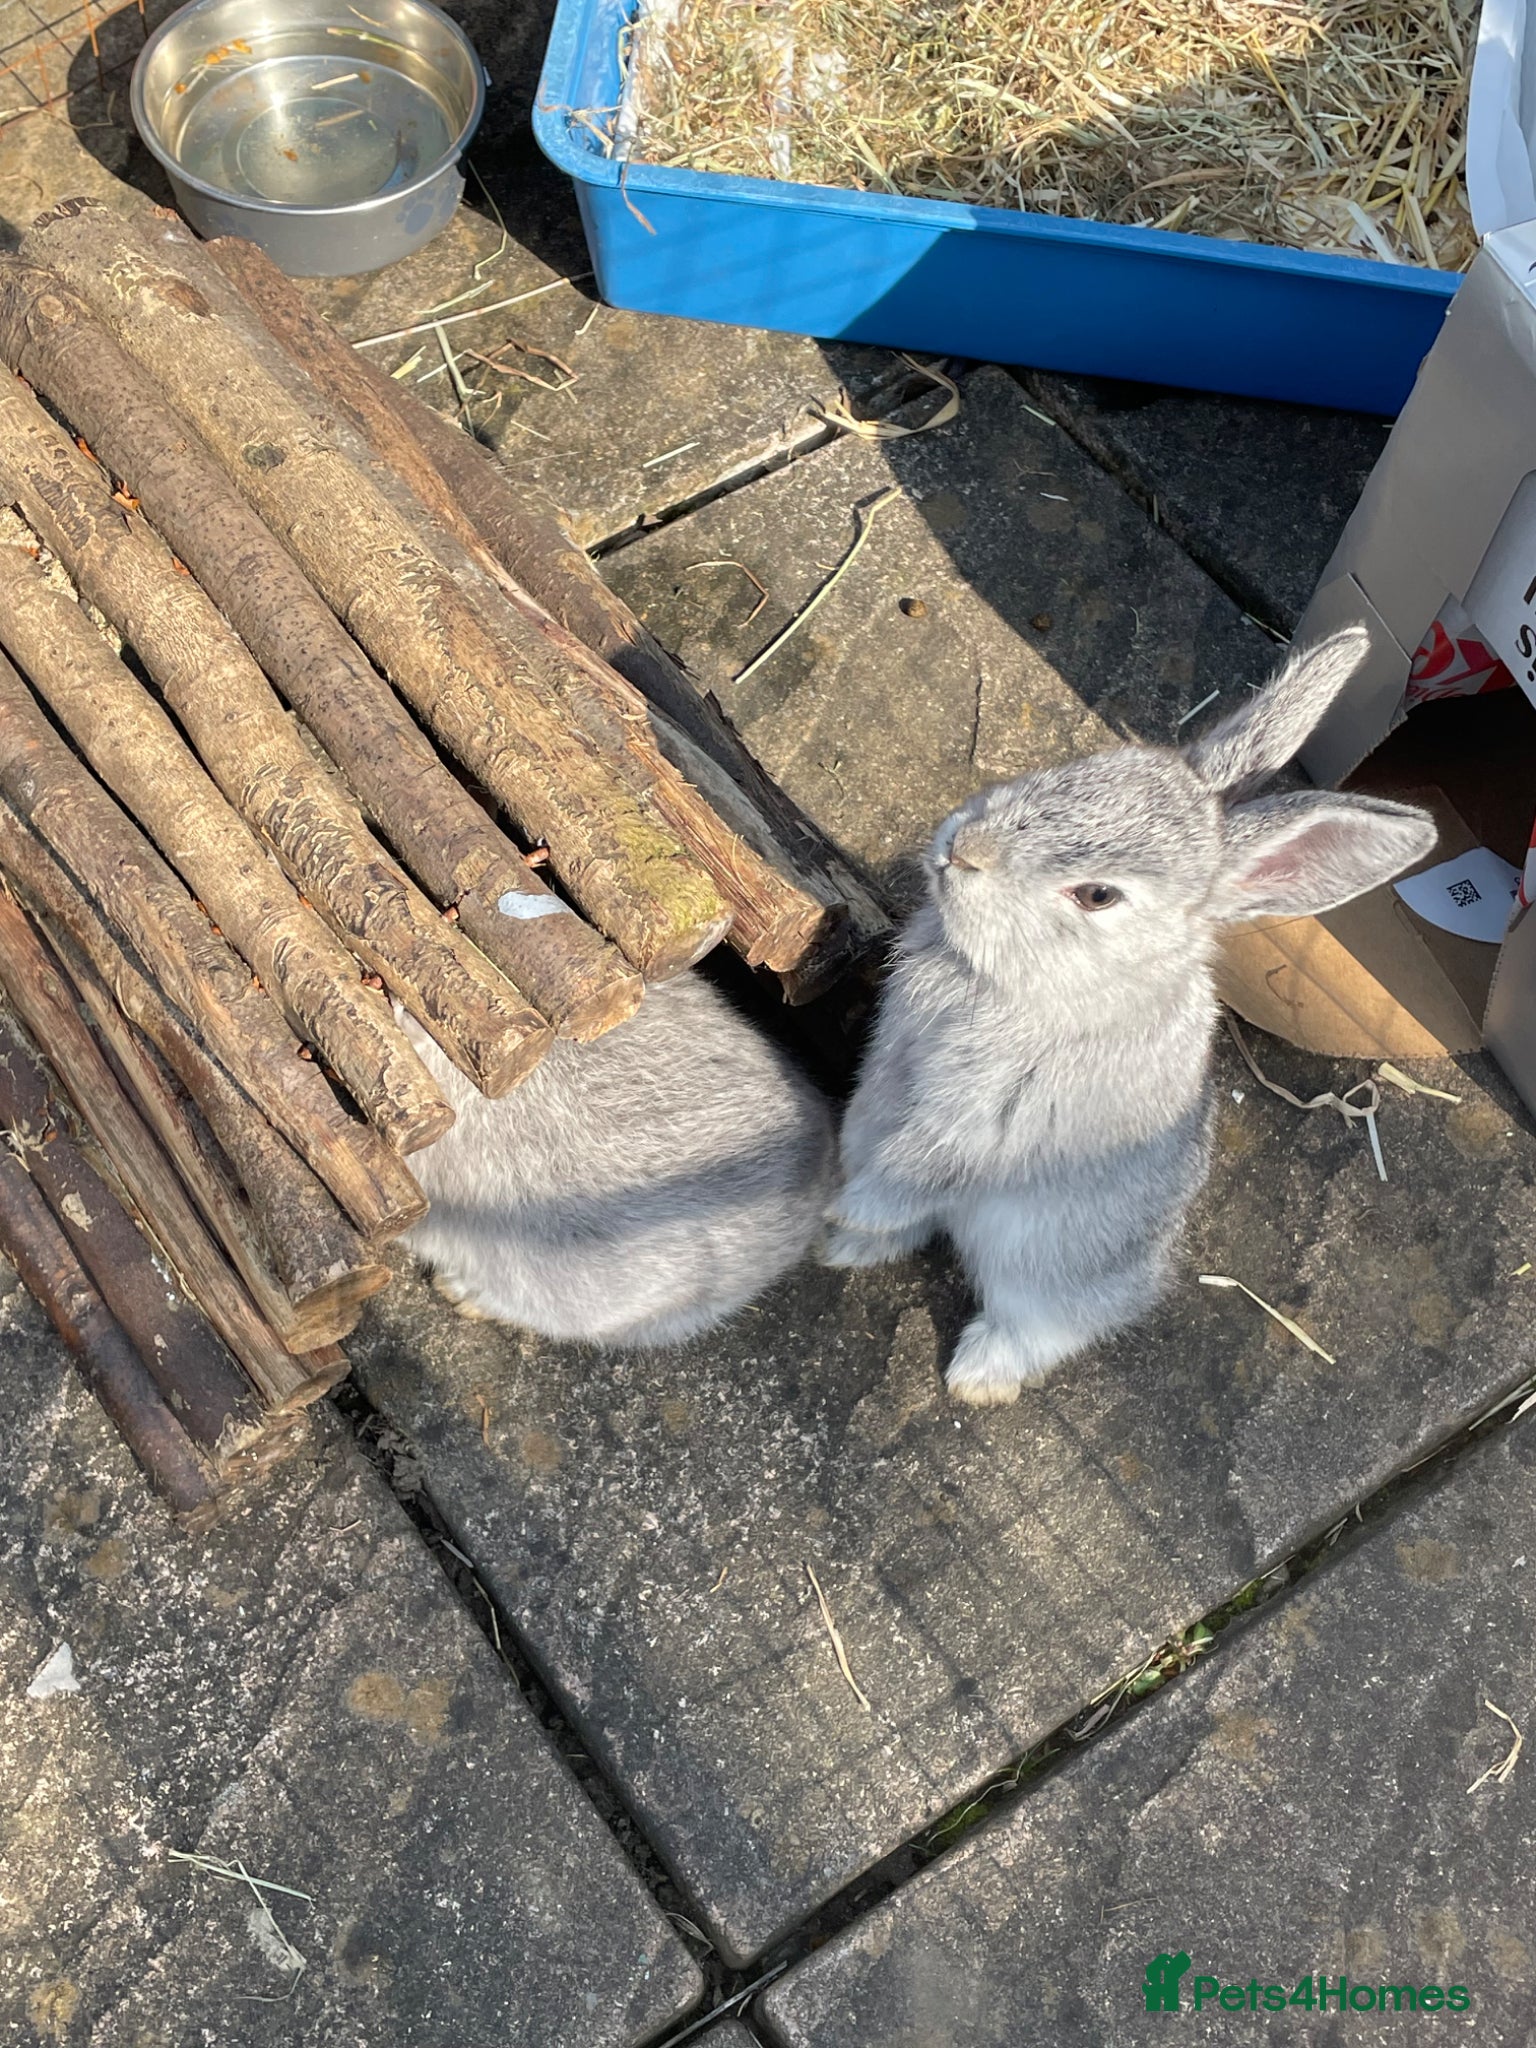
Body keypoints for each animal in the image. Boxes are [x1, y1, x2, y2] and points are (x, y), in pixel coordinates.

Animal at [824, 628, 1438, 1406]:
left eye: (1098, 896)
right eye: (1074, 770)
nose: (962, 849)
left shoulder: (978, 1122)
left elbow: (917, 1169)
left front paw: (843, 1211)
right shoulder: (888, 1079)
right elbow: (871, 1140)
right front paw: (841, 1216)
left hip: (1046, 1270)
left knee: (1044, 1324)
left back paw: (976, 1377)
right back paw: (847, 1252)